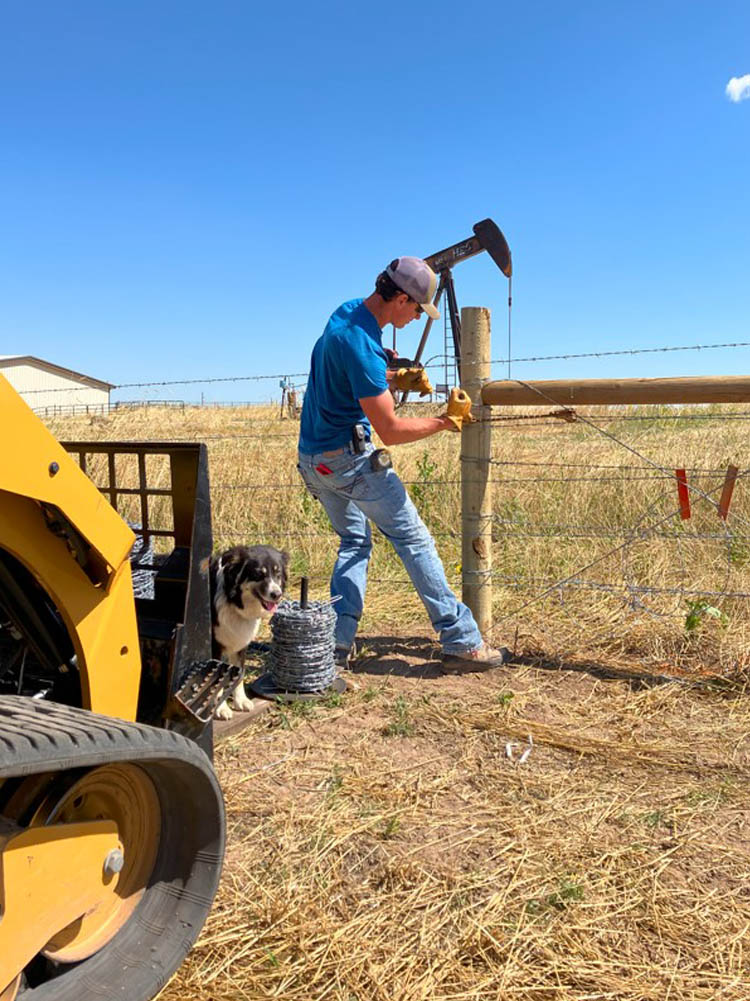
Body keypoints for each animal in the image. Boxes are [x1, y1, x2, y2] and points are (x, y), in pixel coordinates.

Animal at [209, 548, 288, 720]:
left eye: (278, 574)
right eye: (258, 574)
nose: (277, 595)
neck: (232, 600)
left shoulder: (240, 644)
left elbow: (239, 675)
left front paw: (241, 701)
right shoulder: (214, 647)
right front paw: (220, 709)